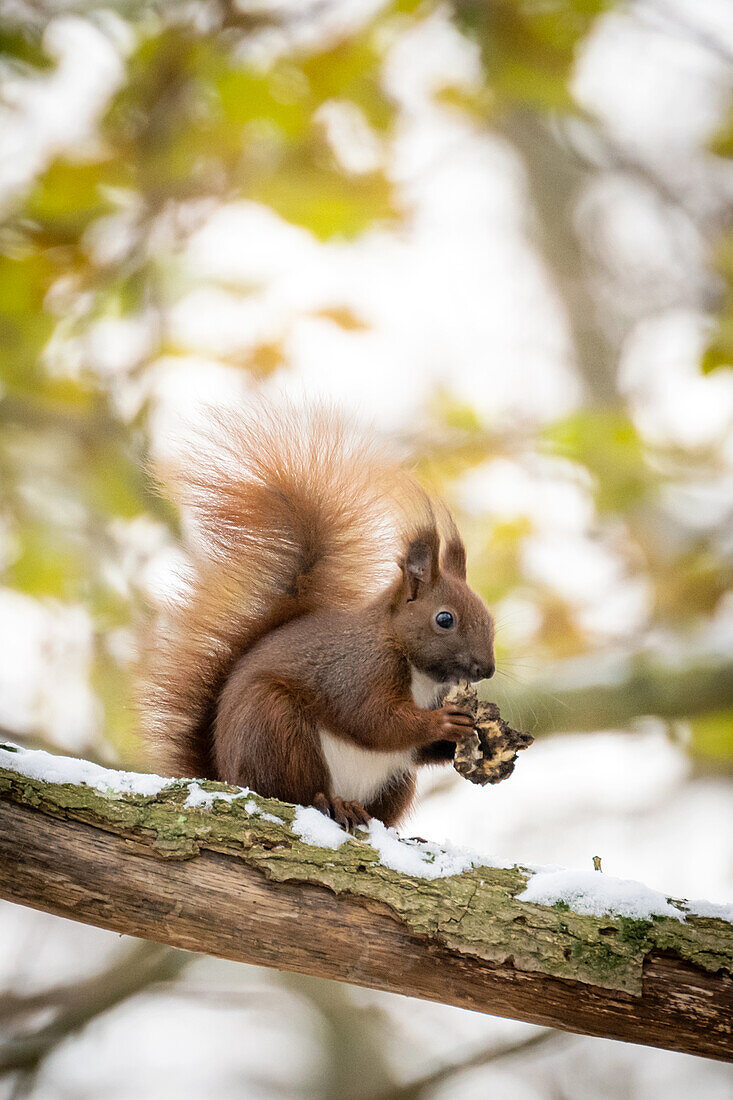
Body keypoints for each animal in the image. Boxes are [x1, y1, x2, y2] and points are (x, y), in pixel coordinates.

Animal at [139, 402, 493, 827]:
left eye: (489, 617)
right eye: (444, 619)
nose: (487, 669)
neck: (415, 668)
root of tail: (226, 775)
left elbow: (418, 748)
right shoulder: (358, 671)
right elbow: (375, 721)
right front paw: (442, 722)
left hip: (395, 781)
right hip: (274, 729)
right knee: (293, 790)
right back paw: (331, 803)